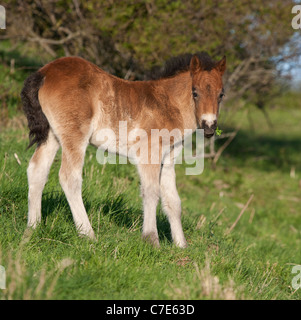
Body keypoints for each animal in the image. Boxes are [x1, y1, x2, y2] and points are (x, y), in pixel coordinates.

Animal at [20, 52, 225, 248]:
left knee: (37, 170)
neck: (167, 103)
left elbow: (173, 201)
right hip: (75, 135)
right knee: (69, 177)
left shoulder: (168, 158)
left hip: (52, 136)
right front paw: (151, 240)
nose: (209, 127)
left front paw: (181, 245)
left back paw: (33, 228)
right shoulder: (149, 153)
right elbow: (151, 192)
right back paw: (88, 235)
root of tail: (45, 72)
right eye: (195, 92)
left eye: (221, 94)